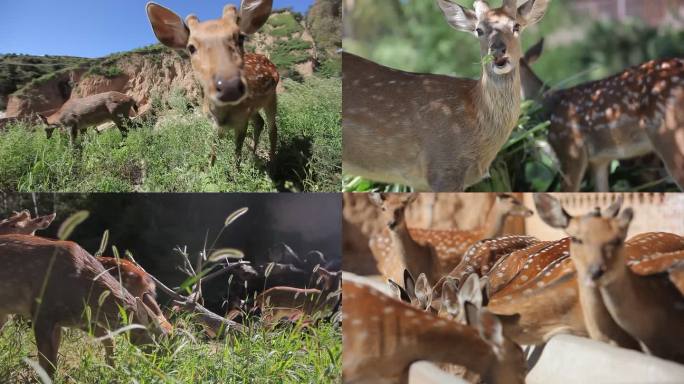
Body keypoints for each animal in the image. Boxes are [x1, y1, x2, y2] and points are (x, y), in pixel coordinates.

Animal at [0, 234, 168, 378]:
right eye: (160, 340)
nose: (163, 366)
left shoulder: (77, 319)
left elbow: (54, 363)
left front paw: (112, 370)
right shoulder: (42, 313)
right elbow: (45, 362)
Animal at [146, 1, 278, 166]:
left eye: (240, 37)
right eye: (191, 47)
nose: (229, 87)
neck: (223, 115)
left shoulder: (242, 120)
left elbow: (237, 154)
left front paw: (236, 170)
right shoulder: (214, 122)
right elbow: (214, 149)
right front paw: (210, 168)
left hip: (271, 97)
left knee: (273, 129)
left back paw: (272, 162)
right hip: (254, 108)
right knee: (260, 122)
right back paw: (254, 155)